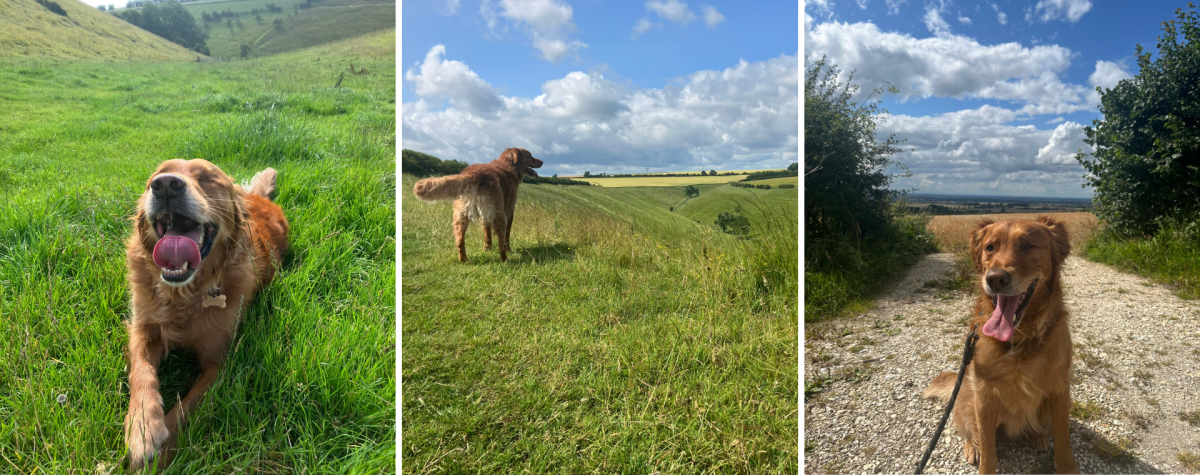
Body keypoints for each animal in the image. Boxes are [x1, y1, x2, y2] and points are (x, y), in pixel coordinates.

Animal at [123, 158, 288, 467]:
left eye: (208, 179)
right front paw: (143, 426)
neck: (183, 296)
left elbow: (184, 409)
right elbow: (141, 371)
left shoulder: (220, 362)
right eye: (155, 177)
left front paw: (160, 456)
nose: (166, 185)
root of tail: (257, 198)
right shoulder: (142, 326)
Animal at [412, 146, 544, 261]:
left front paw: (487, 250)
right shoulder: (509, 212)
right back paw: (505, 259)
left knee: (459, 241)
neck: (508, 166)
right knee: (501, 241)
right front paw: (508, 249)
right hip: (499, 215)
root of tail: (475, 174)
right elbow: (507, 235)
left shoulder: (484, 215)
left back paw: (464, 260)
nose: (542, 161)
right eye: (530, 155)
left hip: (461, 215)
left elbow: (487, 234)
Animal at [921, 217, 1084, 472]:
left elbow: (1063, 439)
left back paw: (1038, 435)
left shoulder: (1059, 389)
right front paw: (982, 457)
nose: (995, 278)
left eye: (1027, 245)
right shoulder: (984, 398)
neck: (1019, 338)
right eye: (990, 247)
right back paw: (973, 448)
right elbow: (989, 452)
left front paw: (1067, 466)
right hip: (967, 400)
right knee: (971, 432)